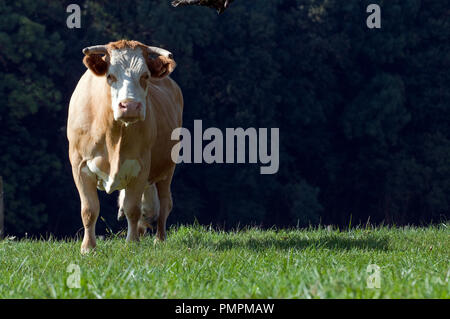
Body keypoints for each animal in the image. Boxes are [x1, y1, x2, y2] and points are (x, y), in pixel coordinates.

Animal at [67, 40, 183, 255]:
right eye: (110, 76)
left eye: (145, 76)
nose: (129, 106)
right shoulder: (79, 165)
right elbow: (89, 209)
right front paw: (87, 247)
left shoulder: (141, 166)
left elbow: (132, 208)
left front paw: (132, 243)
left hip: (167, 167)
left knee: (164, 203)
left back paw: (159, 239)